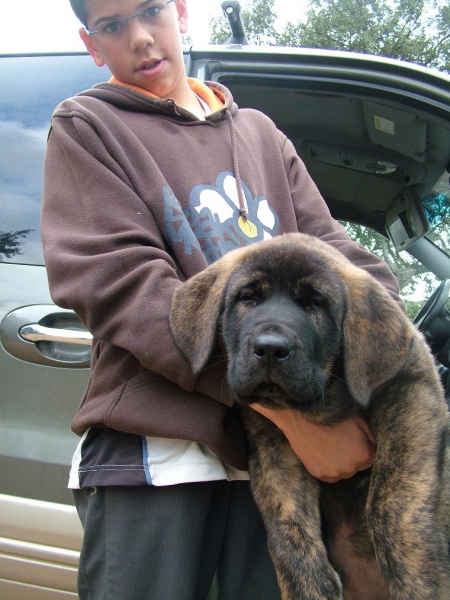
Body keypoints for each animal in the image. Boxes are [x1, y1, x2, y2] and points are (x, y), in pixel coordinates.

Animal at [170, 232, 450, 596]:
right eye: (247, 297)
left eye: (316, 303)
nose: (270, 349)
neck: (325, 400)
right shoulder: (272, 448)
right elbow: (288, 527)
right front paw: (310, 588)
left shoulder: (412, 392)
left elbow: (394, 504)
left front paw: (421, 583)